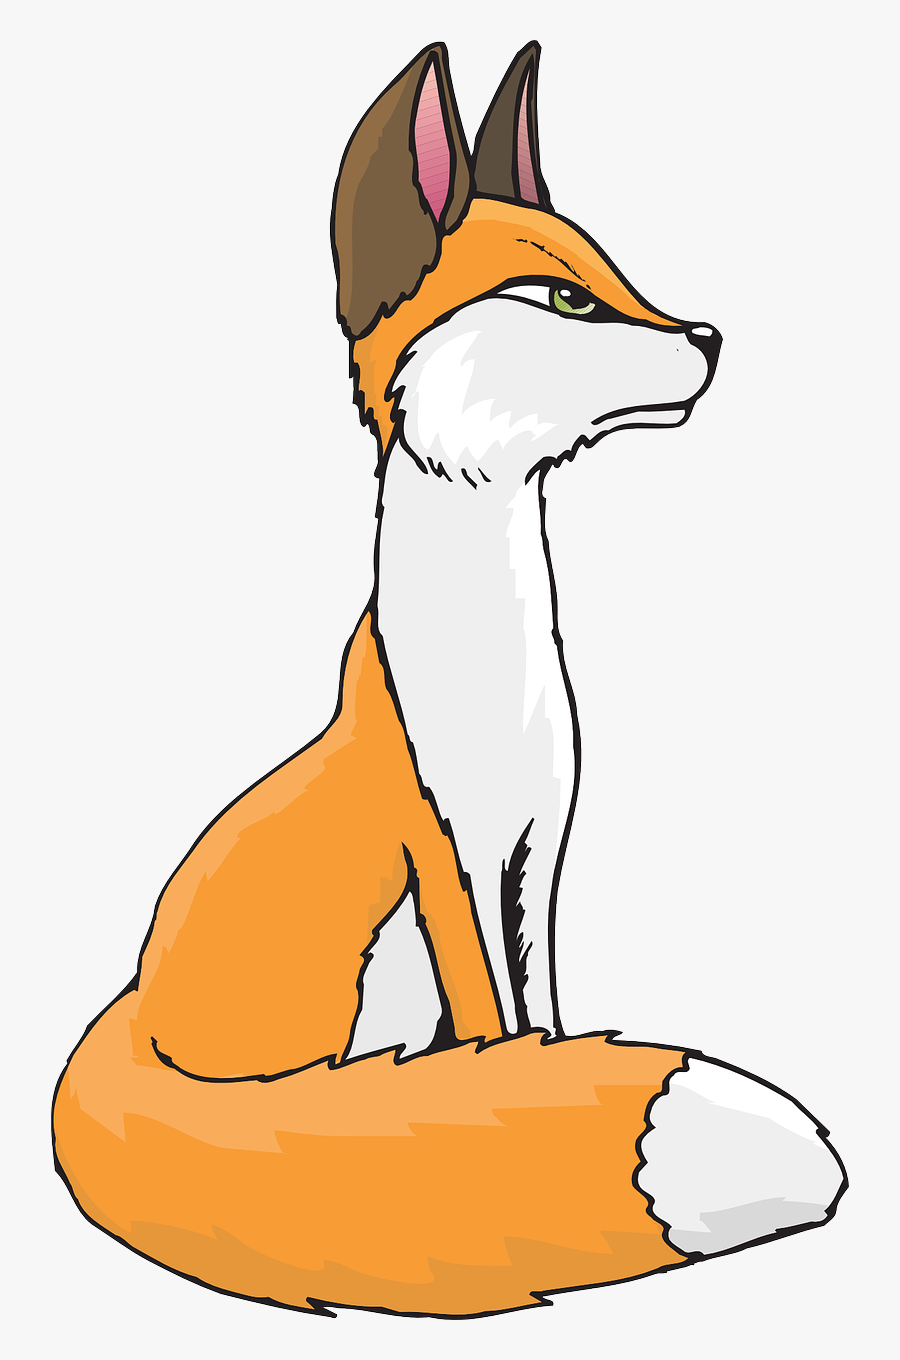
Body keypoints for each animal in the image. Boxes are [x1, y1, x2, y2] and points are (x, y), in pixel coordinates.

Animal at [52, 42, 846, 1319]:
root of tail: (131, 1013)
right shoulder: (449, 849)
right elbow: (496, 1015)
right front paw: (501, 1084)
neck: (491, 672)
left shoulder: (538, 843)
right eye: (568, 300)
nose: (712, 335)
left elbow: (541, 1014)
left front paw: (535, 1071)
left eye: (614, 273)